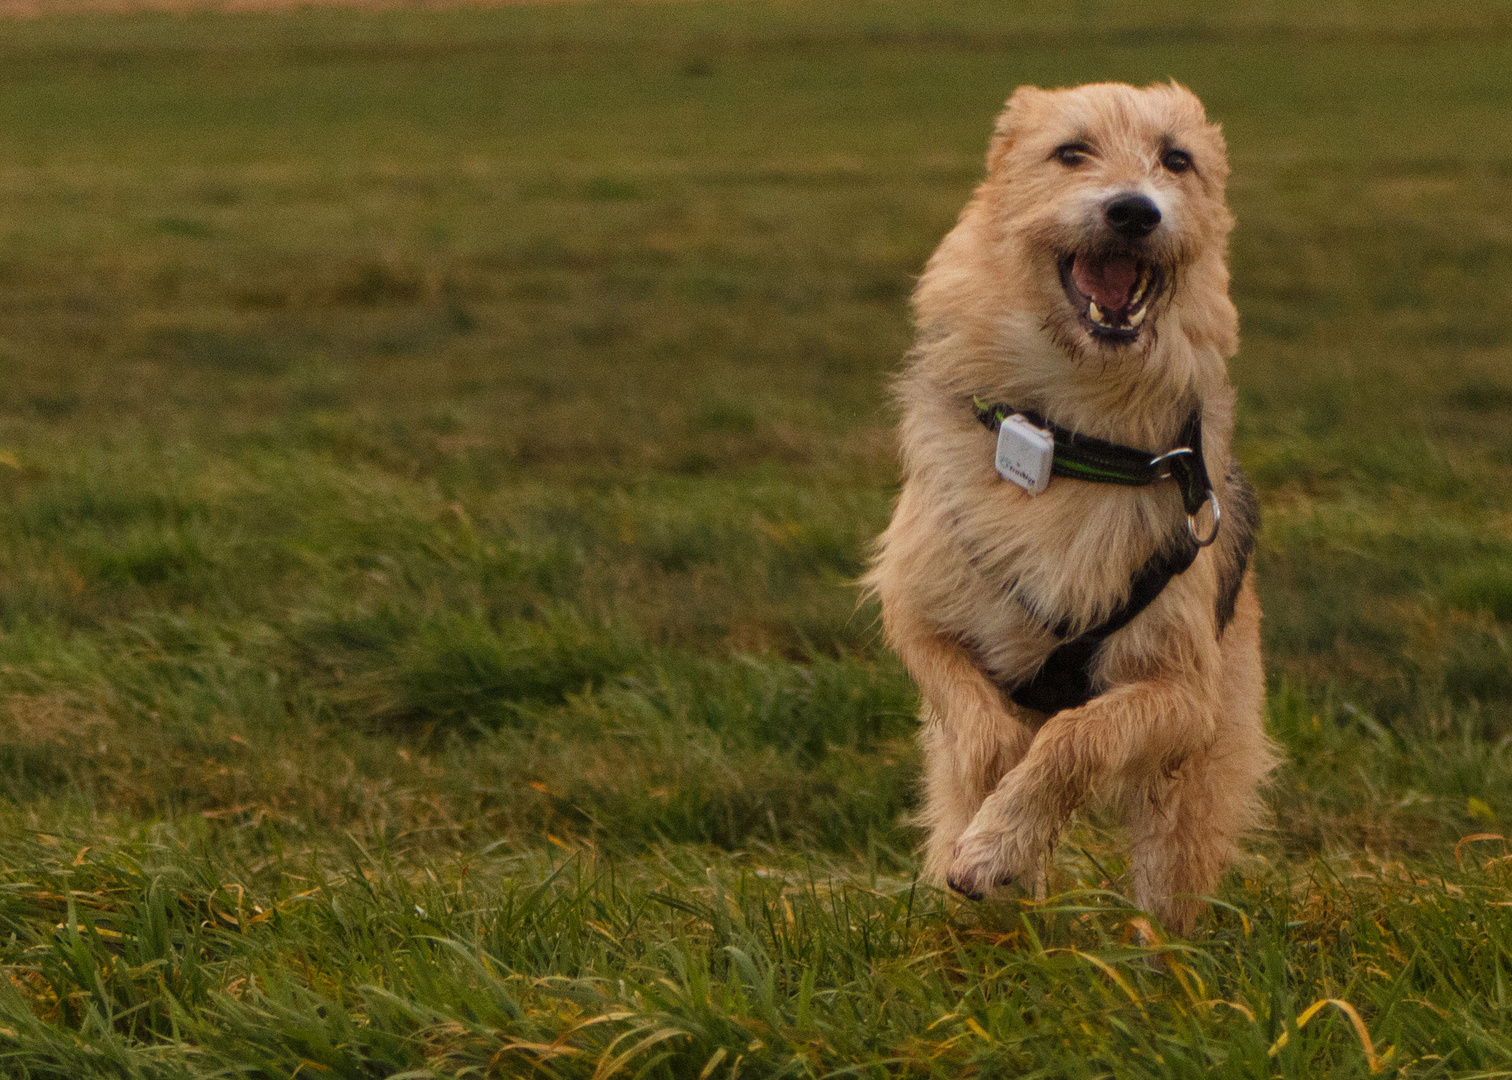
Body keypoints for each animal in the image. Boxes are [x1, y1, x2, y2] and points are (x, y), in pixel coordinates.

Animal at [864, 79, 1276, 931]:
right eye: (1071, 152)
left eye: (1176, 160)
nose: (1134, 211)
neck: (1069, 434)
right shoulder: (916, 614)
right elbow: (983, 735)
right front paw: (996, 837)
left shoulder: (1183, 693)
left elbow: (1073, 737)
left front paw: (1001, 843)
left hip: (1192, 791)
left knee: (1168, 889)